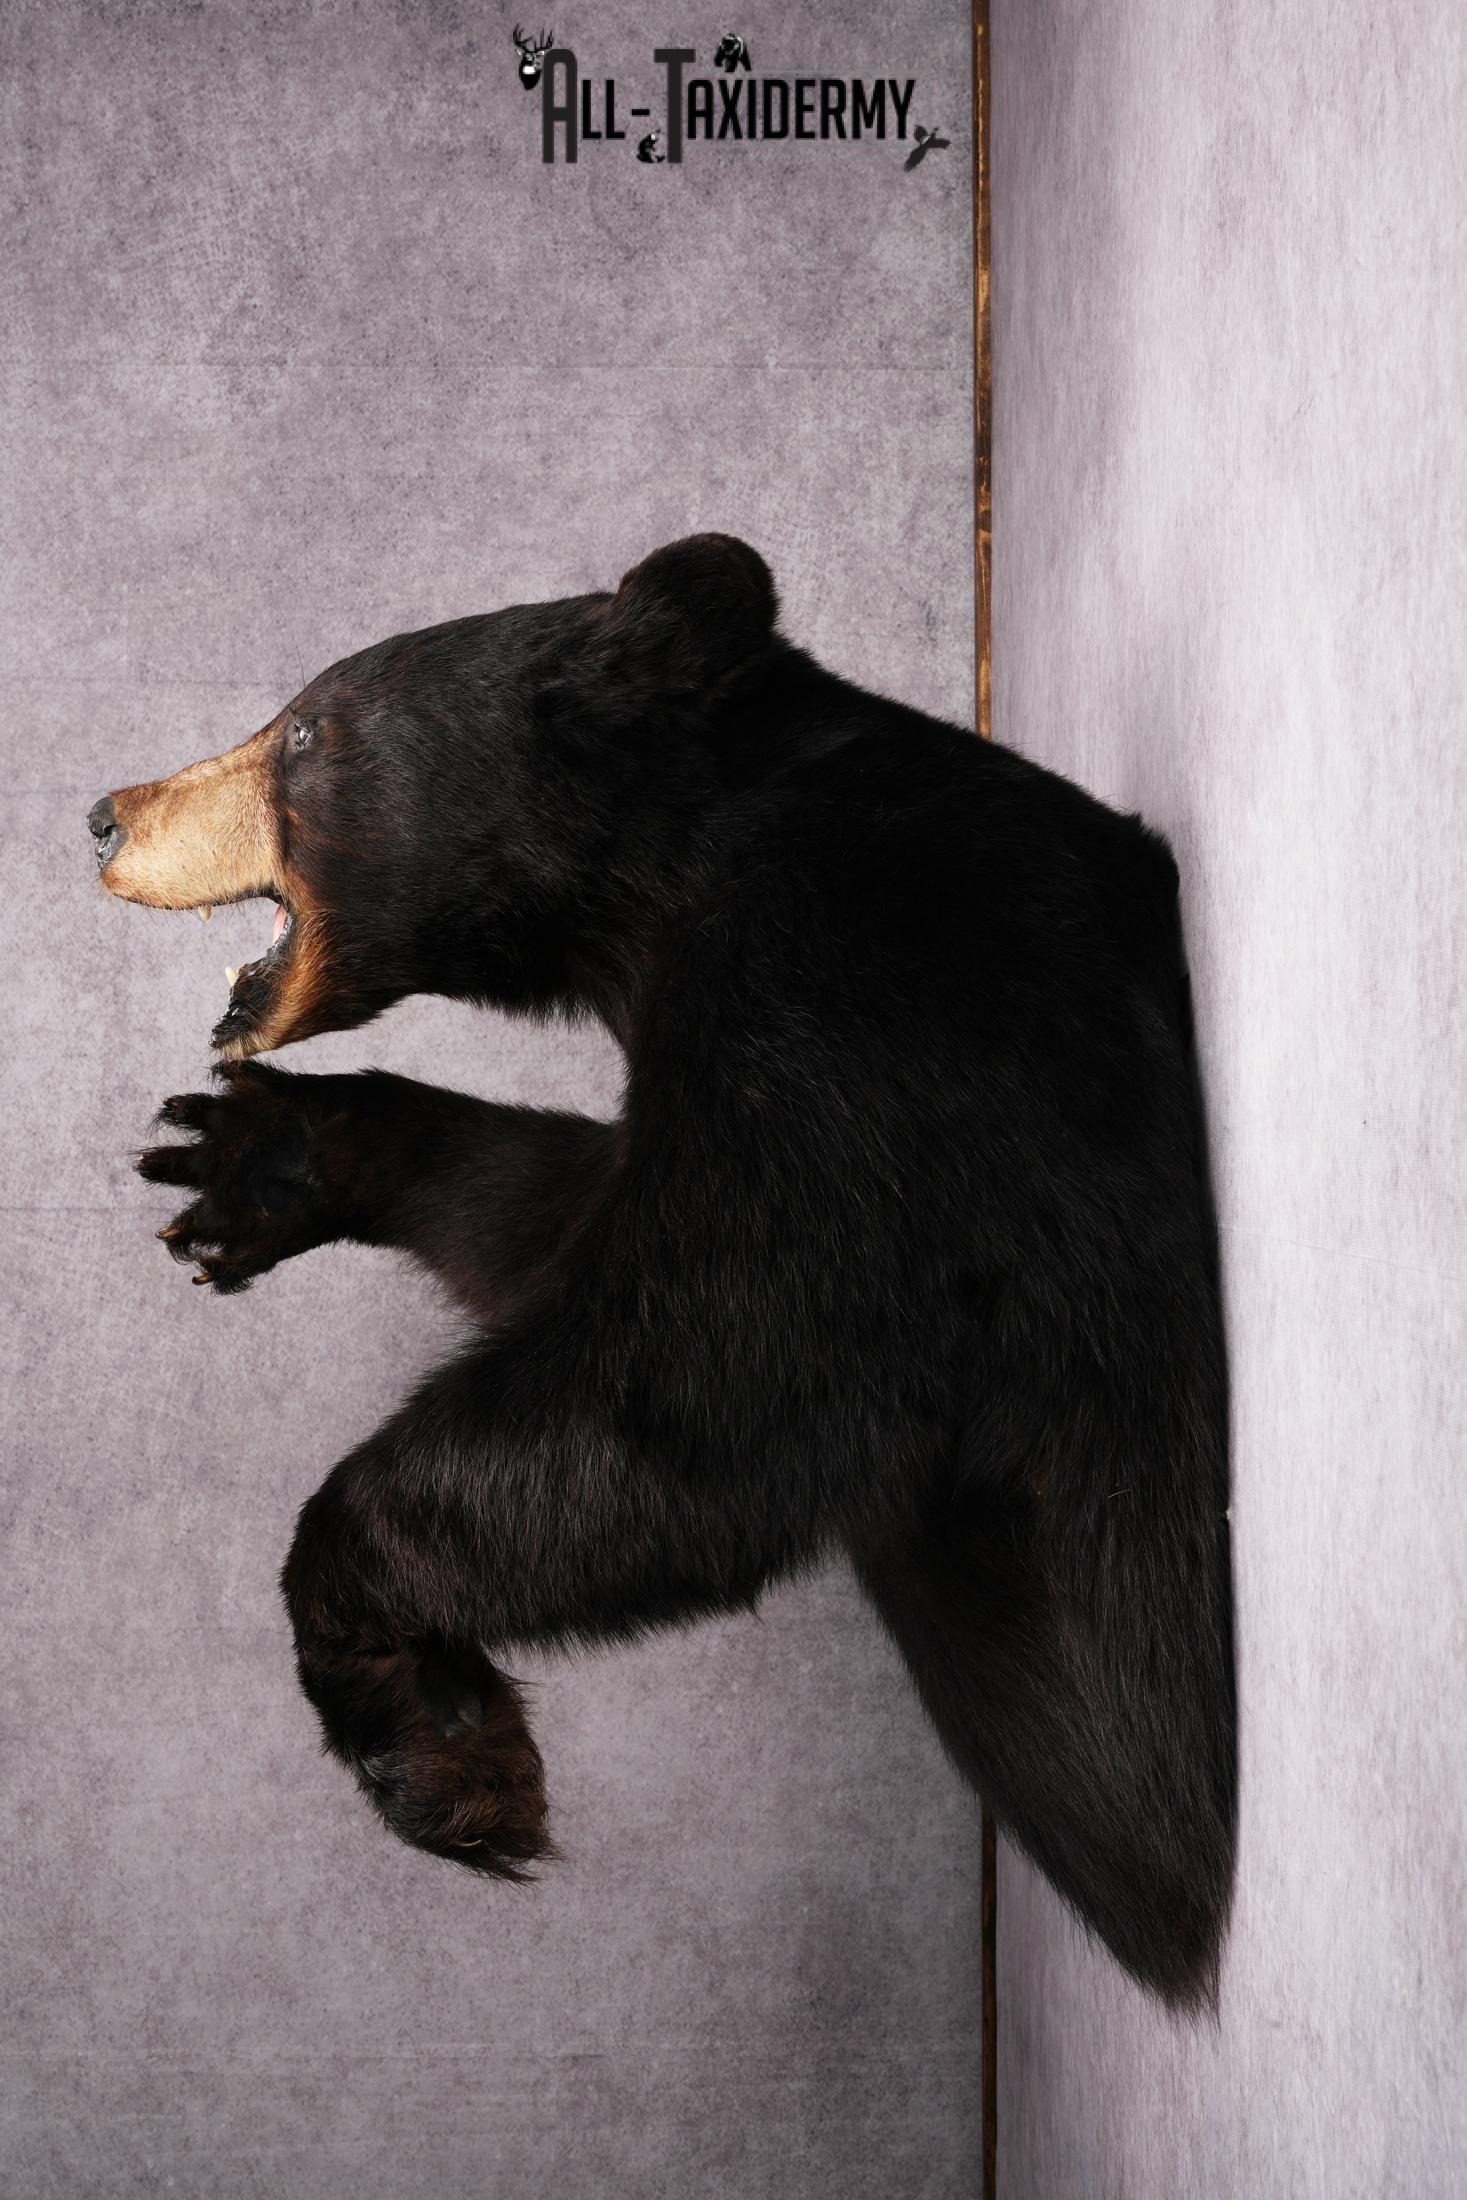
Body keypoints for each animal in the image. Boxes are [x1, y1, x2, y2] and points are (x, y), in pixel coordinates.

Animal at [90, 534, 1236, 2007]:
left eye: (301, 730)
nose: (103, 816)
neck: (655, 884)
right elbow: (563, 1218)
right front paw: (264, 1152)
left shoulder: (869, 1010)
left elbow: (715, 1372)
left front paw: (443, 1743)